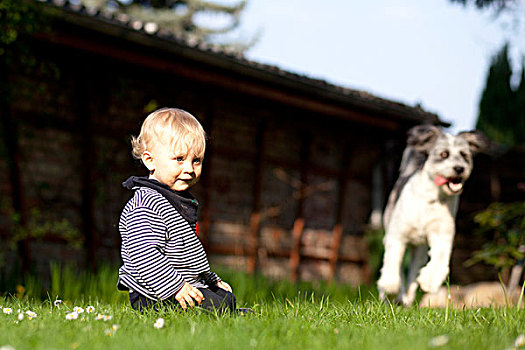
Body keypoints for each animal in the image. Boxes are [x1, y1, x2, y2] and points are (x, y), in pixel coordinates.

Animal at [374, 124, 486, 304]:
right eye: (444, 154)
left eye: (464, 155)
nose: (459, 168)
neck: (432, 199)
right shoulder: (396, 235)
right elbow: (392, 260)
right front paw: (389, 286)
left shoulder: (442, 234)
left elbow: (440, 259)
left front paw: (429, 281)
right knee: (399, 269)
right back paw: (389, 295)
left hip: (419, 251)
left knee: (412, 273)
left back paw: (407, 298)